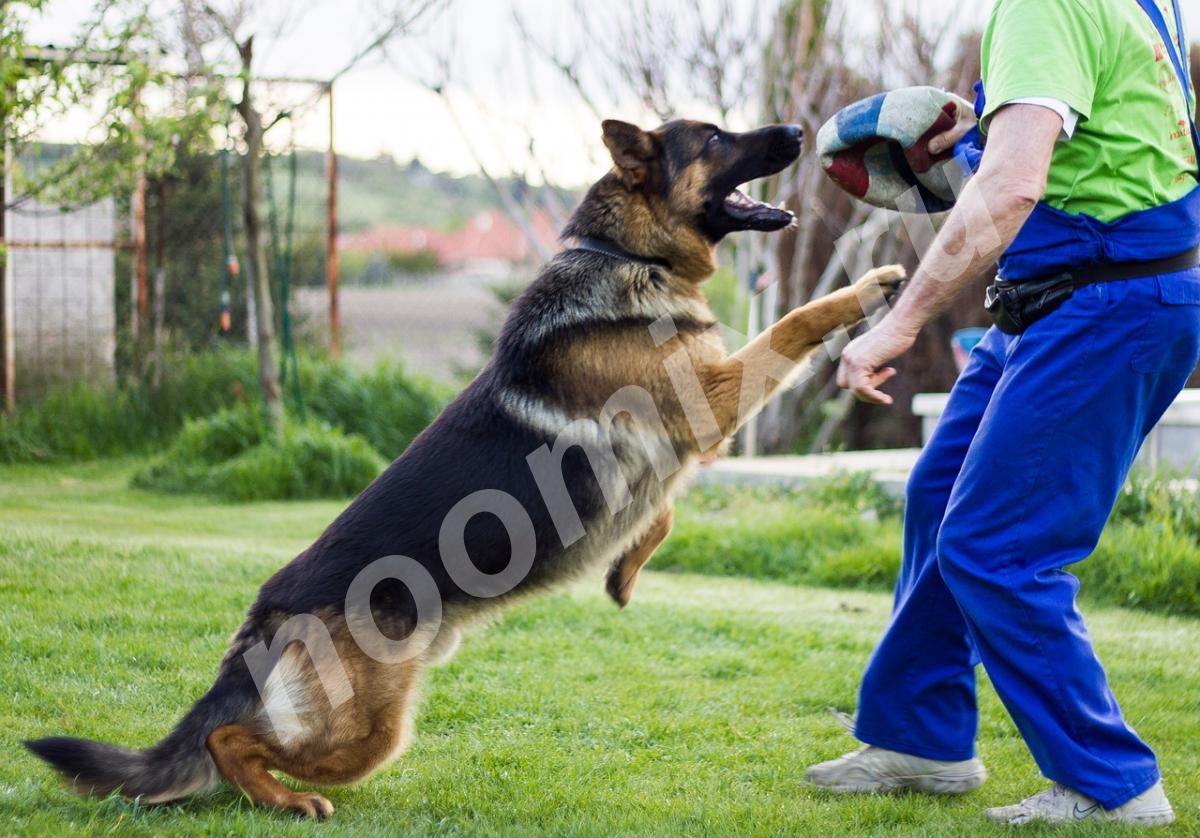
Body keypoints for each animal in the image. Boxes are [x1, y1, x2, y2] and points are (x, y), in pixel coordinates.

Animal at [25, 117, 902, 816]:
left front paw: (626, 569)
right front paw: (869, 286)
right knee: (230, 741)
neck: (622, 253)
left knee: (236, 739)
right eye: (717, 138)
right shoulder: (710, 401)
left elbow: (664, 507)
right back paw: (286, 800)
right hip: (370, 730)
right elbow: (793, 323)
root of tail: (267, 607)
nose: (798, 131)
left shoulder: (688, 438)